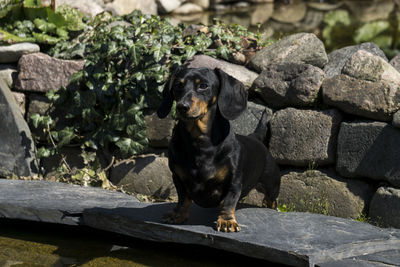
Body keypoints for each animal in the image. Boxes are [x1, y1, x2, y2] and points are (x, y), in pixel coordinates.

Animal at [157, 67, 282, 232]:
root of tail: (254, 137)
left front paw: (227, 221)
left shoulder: (234, 182)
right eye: (178, 85)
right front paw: (178, 215)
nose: (182, 107)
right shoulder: (178, 177)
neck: (200, 143)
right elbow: (183, 199)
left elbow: (229, 202)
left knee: (271, 200)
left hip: (271, 186)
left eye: (203, 86)